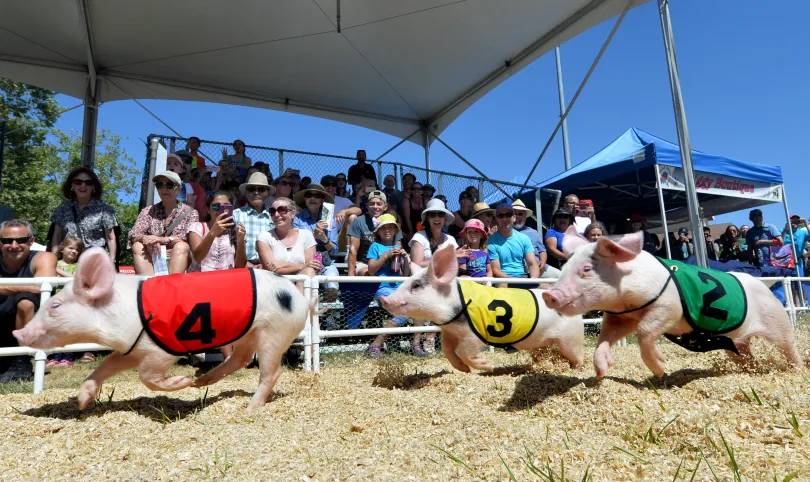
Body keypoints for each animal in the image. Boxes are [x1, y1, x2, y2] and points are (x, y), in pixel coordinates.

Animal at [13, 248, 309, 412]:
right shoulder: (131, 348)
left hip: (274, 332)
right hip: (248, 333)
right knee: (240, 359)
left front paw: (182, 382)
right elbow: (106, 367)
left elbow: (147, 376)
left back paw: (247, 409)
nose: (18, 334)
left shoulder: (161, 349)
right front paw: (83, 403)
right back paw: (202, 382)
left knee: (271, 371)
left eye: (55, 305)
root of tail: (301, 298)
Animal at [379, 244, 584, 372]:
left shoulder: (475, 333)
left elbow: (464, 350)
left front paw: (487, 367)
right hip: (539, 343)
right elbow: (447, 350)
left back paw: (576, 370)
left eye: (416, 285)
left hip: (571, 338)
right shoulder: (449, 332)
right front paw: (463, 370)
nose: (383, 298)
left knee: (578, 356)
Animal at [542, 228, 803, 379]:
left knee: (789, 346)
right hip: (735, 342)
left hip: (776, 321)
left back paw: (798, 370)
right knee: (744, 355)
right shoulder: (621, 316)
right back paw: (752, 370)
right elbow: (604, 339)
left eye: (586, 269)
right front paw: (601, 373)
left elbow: (645, 331)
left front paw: (661, 371)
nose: (549, 295)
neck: (627, 300)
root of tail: (764, 284)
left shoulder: (668, 307)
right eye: (565, 267)